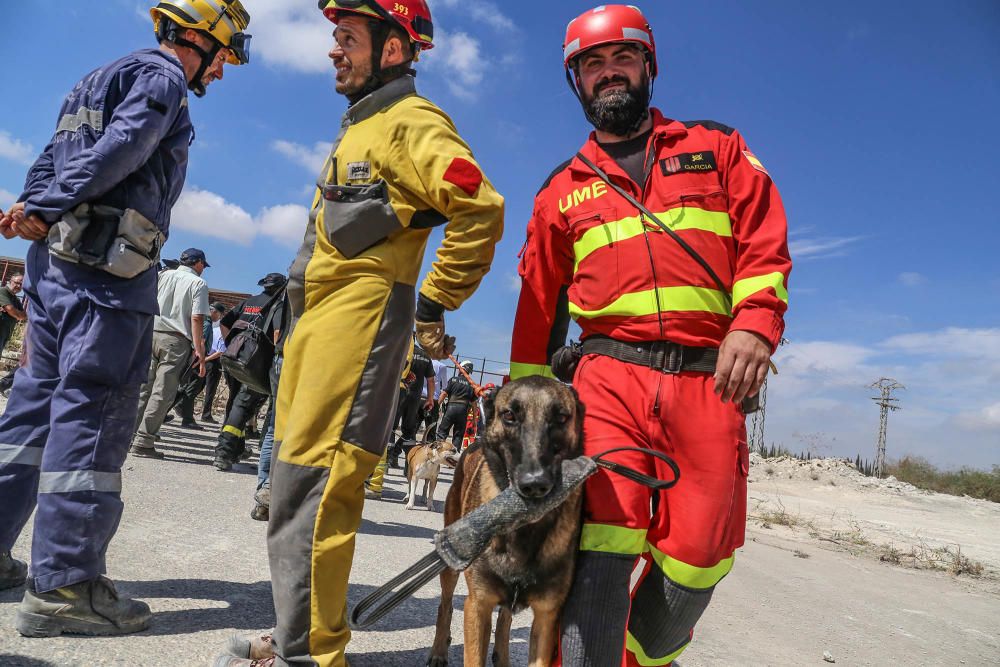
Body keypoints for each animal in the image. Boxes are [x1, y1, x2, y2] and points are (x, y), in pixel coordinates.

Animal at [428, 376, 584, 667]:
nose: (535, 484)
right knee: (445, 606)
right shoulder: (477, 605)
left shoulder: (546, 618)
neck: (524, 530)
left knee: (505, 619)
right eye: (509, 415)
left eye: (561, 418)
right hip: (450, 569)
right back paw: (439, 651)